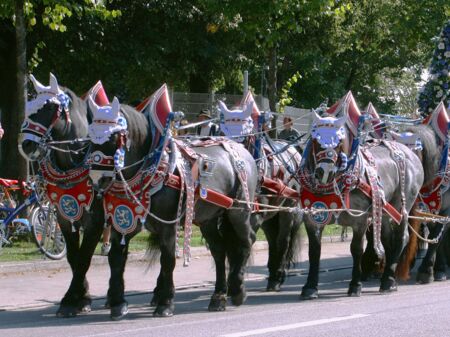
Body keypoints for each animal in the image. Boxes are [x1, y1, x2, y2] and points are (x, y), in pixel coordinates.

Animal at [218, 96, 302, 290]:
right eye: (221, 130)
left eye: (246, 134)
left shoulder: (253, 217)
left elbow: (242, 243)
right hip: (270, 216)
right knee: (272, 240)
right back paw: (272, 275)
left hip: (288, 208)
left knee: (283, 240)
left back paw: (278, 276)